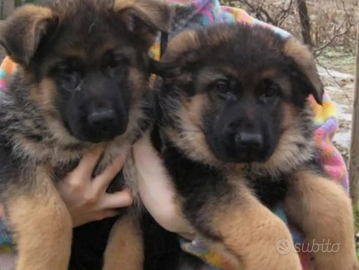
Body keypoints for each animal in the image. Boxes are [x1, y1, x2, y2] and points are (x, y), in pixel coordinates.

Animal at [0, 0, 172, 270]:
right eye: (67, 72)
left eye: (115, 65)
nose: (102, 120)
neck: (78, 146)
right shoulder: (17, 156)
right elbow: (51, 215)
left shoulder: (132, 204)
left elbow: (125, 253)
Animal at [153, 22, 359, 270]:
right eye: (222, 87)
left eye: (270, 92)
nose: (249, 141)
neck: (249, 167)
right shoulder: (200, 174)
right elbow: (266, 227)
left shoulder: (291, 162)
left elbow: (334, 201)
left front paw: (342, 261)